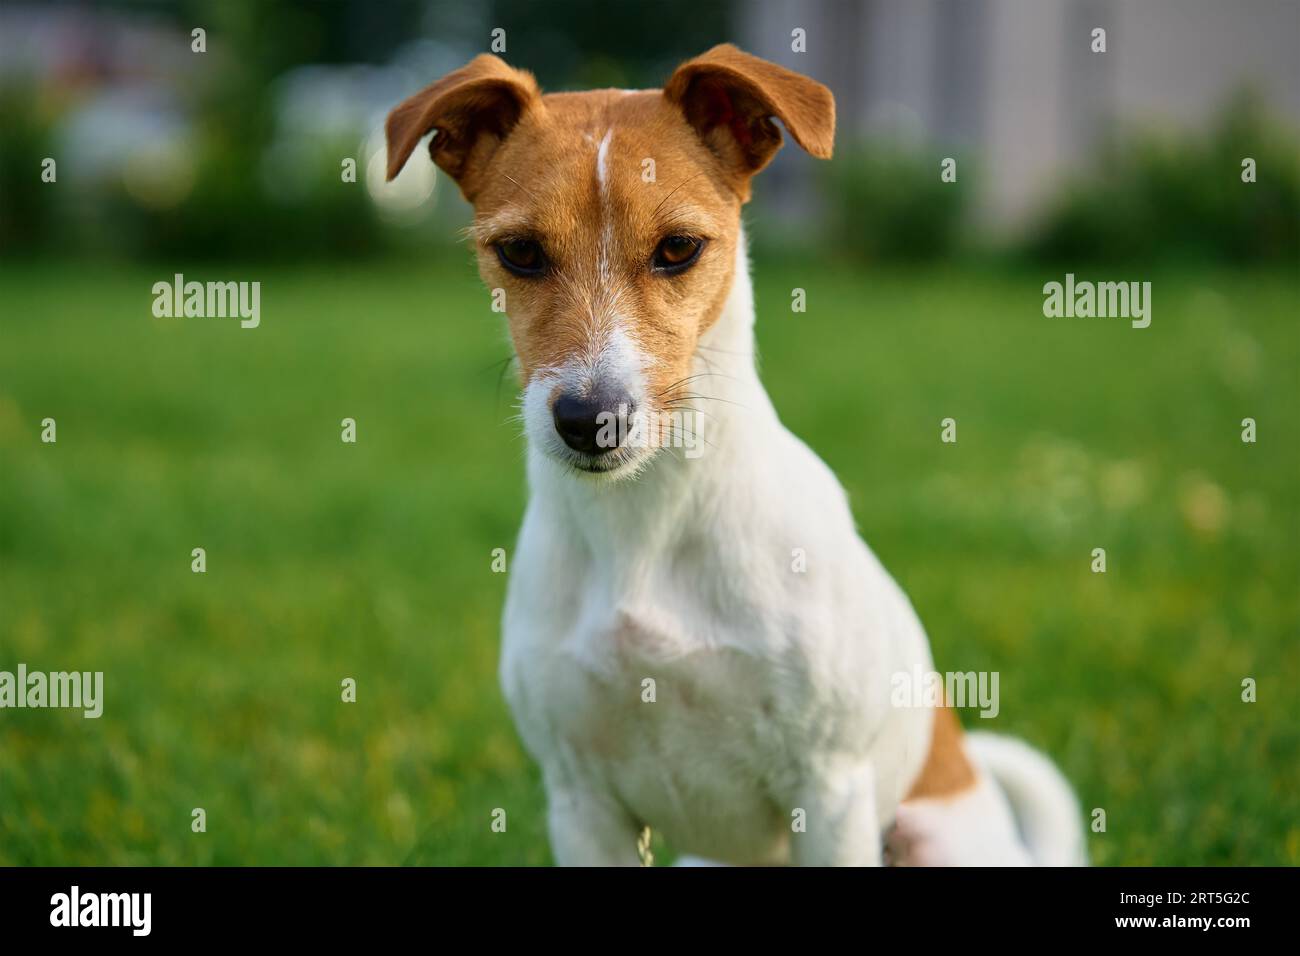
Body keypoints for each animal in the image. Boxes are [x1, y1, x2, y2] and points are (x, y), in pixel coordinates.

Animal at [384, 44, 1086, 868]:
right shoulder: (582, 803)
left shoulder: (829, 791)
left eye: (678, 248)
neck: (646, 524)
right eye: (519, 252)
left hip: (928, 835)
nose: (590, 420)